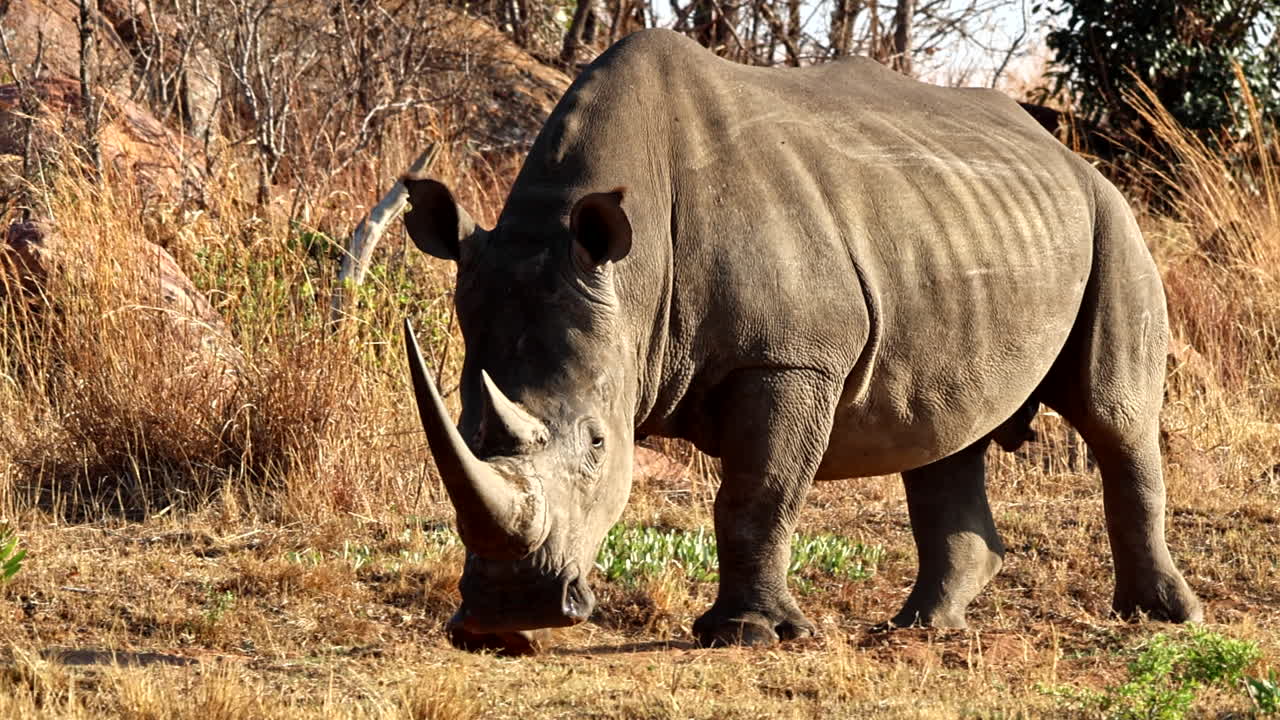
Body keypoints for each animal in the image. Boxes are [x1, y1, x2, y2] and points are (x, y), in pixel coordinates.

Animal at [401, 29, 1202, 653]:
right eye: (464, 429)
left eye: (600, 443)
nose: (509, 613)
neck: (633, 279)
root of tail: (1063, 150)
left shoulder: (790, 358)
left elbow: (757, 492)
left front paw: (744, 635)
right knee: (946, 428)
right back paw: (918, 627)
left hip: (1111, 217)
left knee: (1113, 416)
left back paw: (1161, 617)